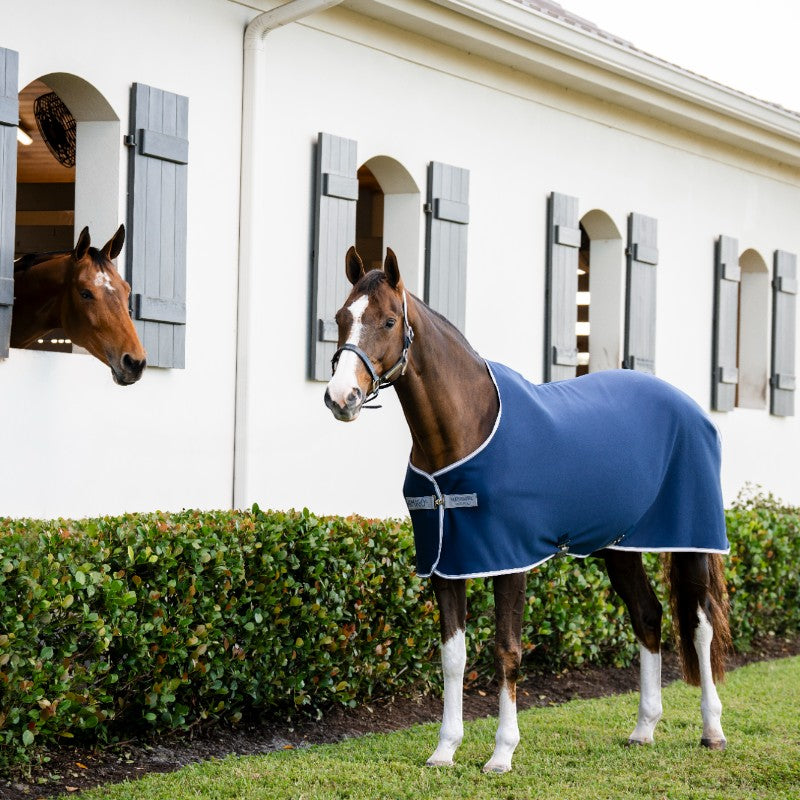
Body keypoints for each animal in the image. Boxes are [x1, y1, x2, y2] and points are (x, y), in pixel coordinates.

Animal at [324, 246, 731, 774]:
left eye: (390, 320)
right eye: (341, 317)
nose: (341, 398)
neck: (466, 428)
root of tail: (692, 408)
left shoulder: (508, 559)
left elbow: (507, 651)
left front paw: (501, 753)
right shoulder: (446, 563)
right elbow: (453, 657)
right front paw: (445, 749)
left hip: (692, 540)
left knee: (700, 626)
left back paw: (712, 730)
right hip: (620, 548)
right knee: (648, 616)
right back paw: (643, 729)